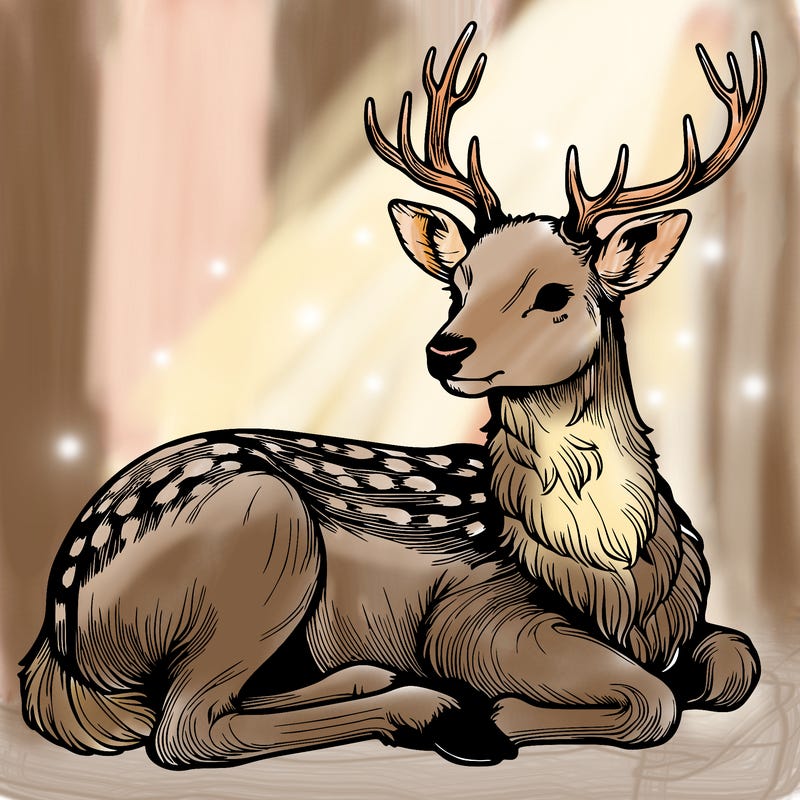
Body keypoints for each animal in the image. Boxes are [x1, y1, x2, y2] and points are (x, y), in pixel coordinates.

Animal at [20, 22, 766, 769]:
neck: (615, 575)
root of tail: (55, 636)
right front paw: (492, 714)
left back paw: (377, 678)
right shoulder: (476, 615)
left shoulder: (692, 622)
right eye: (459, 283)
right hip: (262, 535)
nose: (445, 349)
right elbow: (652, 698)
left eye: (555, 293)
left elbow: (737, 659)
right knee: (184, 726)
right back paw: (436, 712)